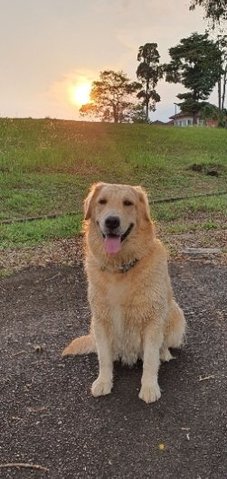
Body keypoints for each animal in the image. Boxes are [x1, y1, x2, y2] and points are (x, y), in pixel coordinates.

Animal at [62, 184, 186, 404]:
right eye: (102, 201)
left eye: (128, 203)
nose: (111, 221)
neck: (119, 268)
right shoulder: (101, 320)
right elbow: (103, 358)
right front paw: (103, 382)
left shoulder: (153, 319)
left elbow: (151, 359)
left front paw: (149, 387)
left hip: (176, 314)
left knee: (163, 346)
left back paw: (164, 354)